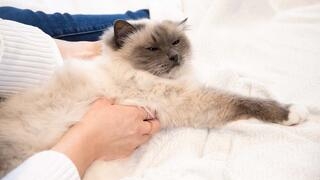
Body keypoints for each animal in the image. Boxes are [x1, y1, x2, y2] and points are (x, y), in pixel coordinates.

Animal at [0, 19, 308, 176]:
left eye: (175, 42)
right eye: (152, 48)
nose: (174, 57)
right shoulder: (191, 100)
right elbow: (241, 99)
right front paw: (293, 113)